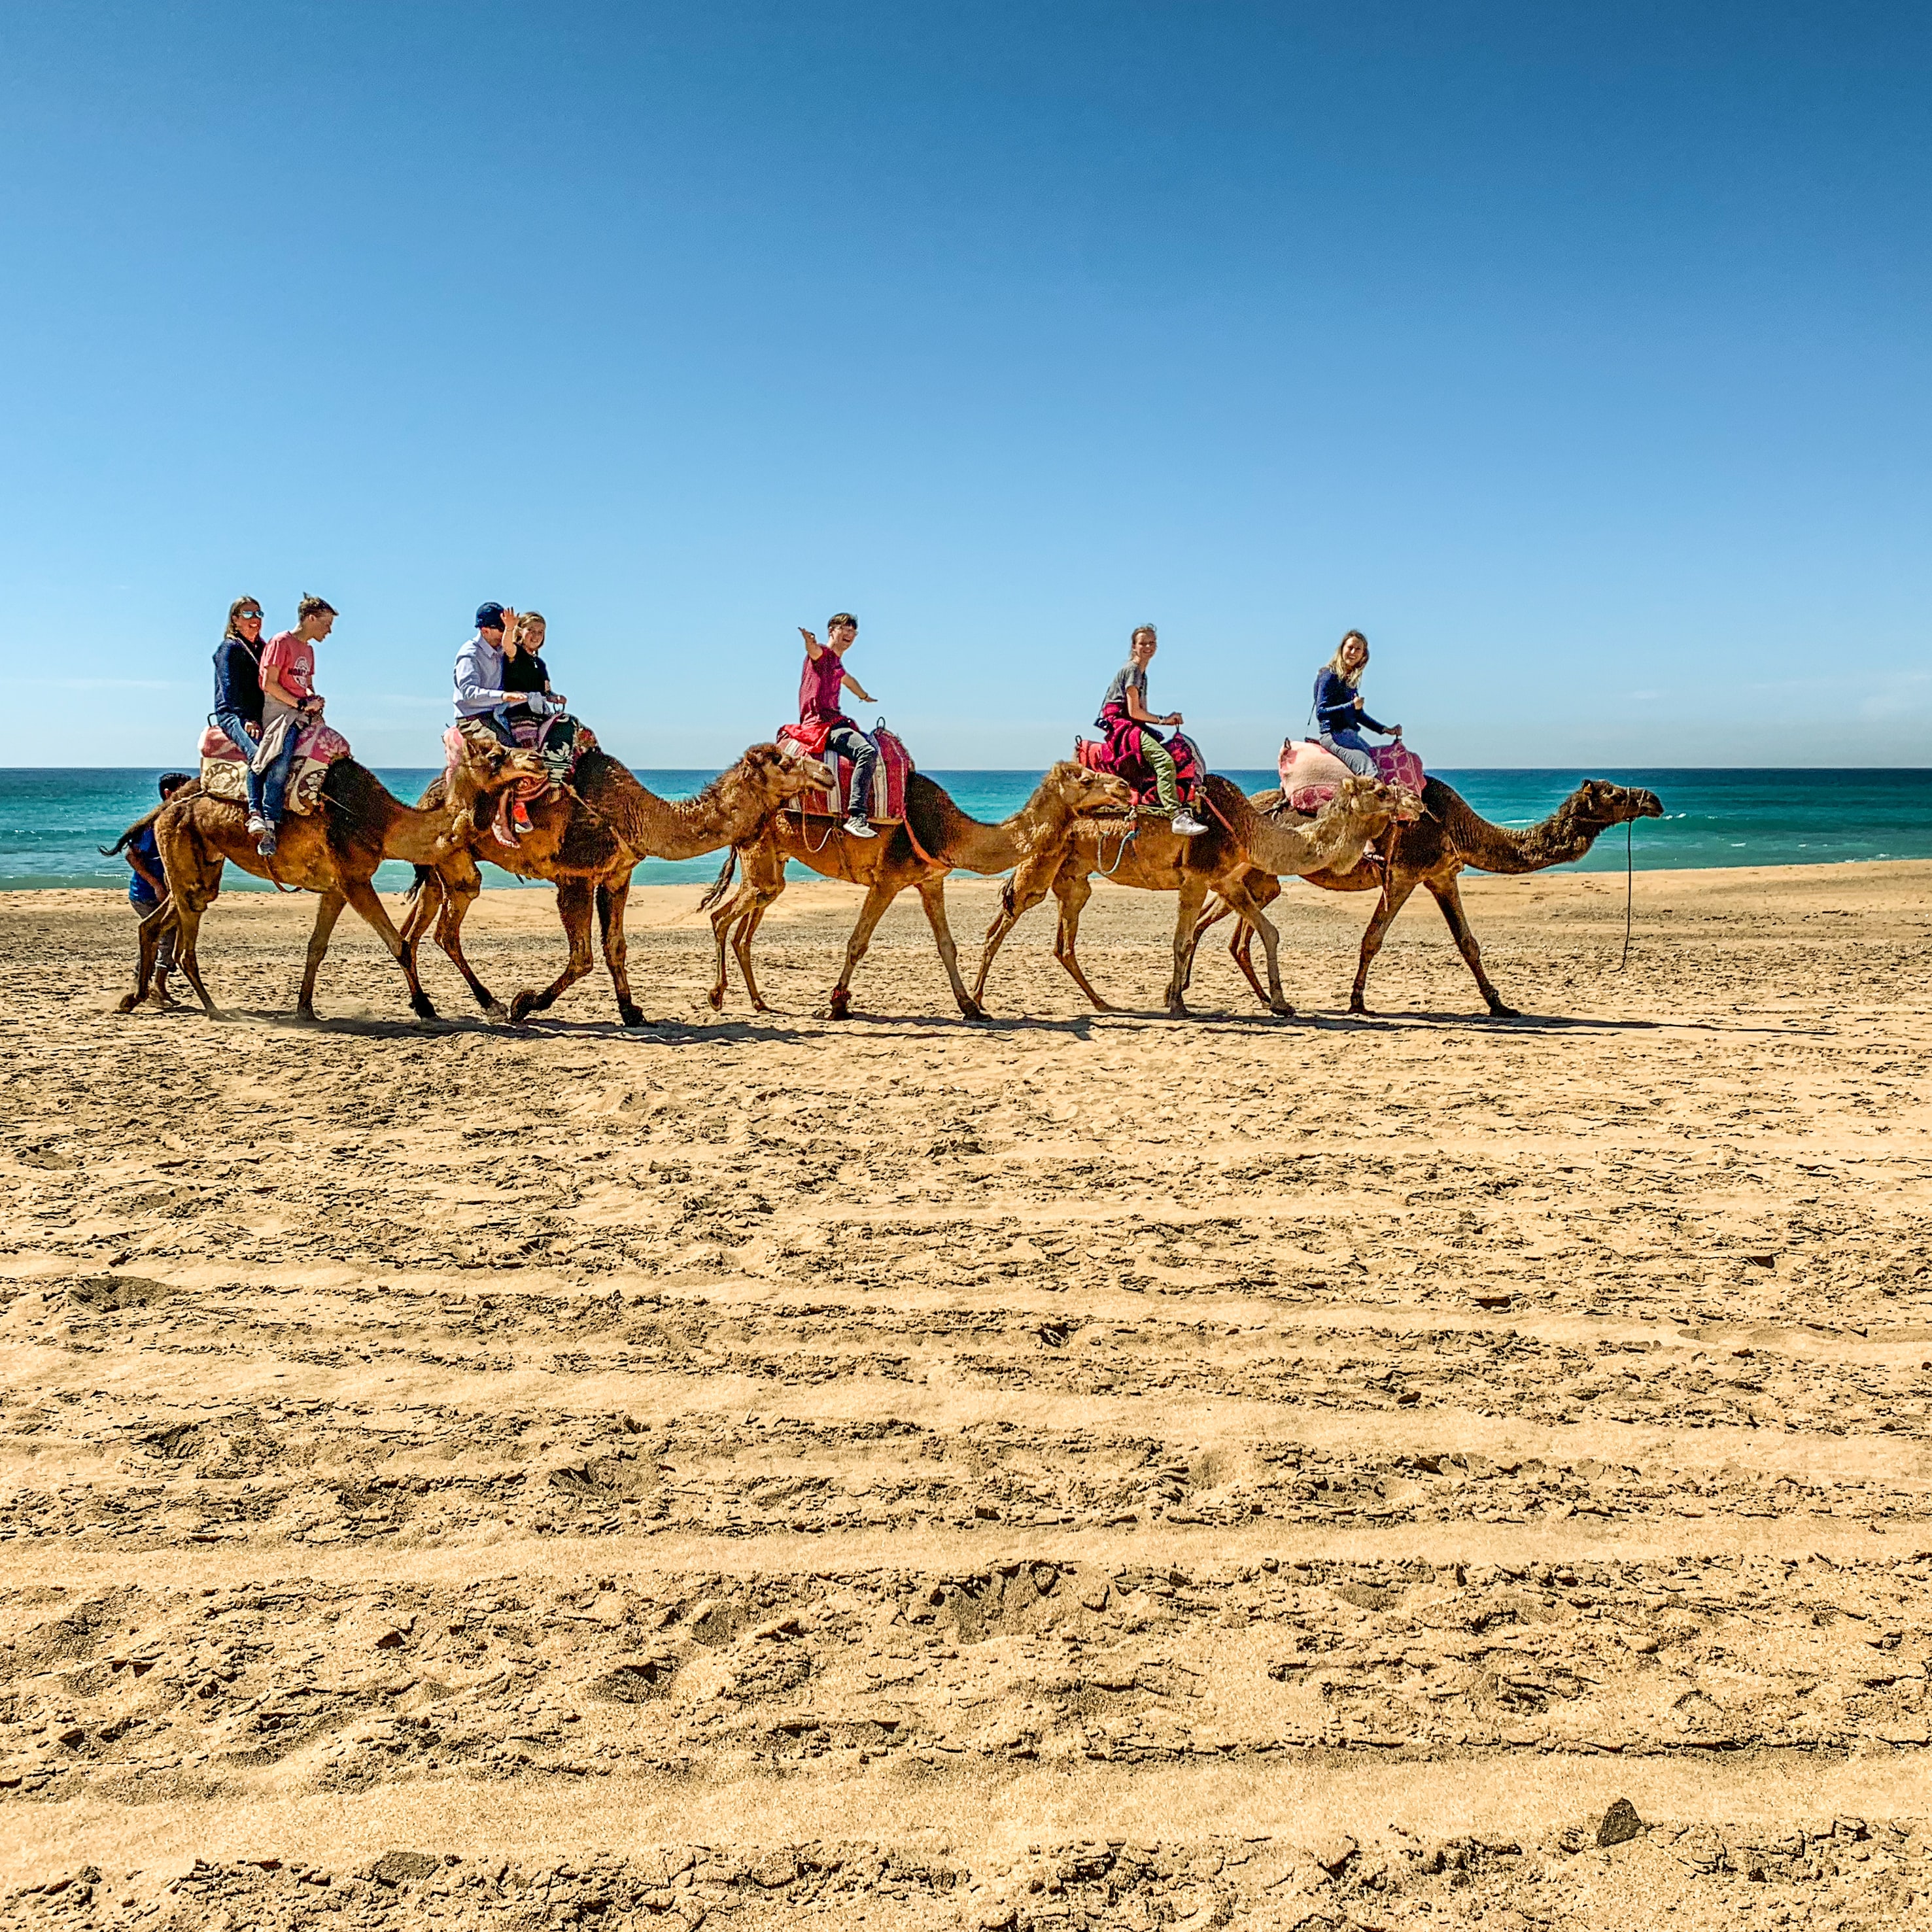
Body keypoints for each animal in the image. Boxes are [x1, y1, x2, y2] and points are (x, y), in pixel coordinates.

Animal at [111, 734, 545, 1020]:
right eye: (496, 755)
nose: (538, 760)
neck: (382, 823)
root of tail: (169, 806)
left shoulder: (336, 888)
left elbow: (316, 947)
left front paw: (305, 1009)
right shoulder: (354, 880)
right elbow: (400, 945)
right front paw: (426, 1007)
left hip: (201, 866)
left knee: (156, 922)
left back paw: (132, 999)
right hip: (182, 854)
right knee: (183, 941)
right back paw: (214, 1008)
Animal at [400, 742, 831, 1027]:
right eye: (785, 762)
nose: (825, 773)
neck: (636, 815)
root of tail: (428, 795)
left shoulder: (617, 876)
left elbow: (615, 947)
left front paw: (631, 1011)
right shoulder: (575, 876)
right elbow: (583, 956)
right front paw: (526, 1003)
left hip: (438, 864)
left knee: (415, 929)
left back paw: (425, 1006)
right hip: (455, 859)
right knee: (447, 928)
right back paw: (491, 1004)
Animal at [707, 757, 1128, 1020]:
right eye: (1087, 778)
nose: (1124, 786)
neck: (945, 830)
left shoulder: (931, 880)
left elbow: (947, 946)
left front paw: (971, 1007)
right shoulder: (887, 880)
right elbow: (857, 943)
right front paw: (835, 1006)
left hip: (770, 870)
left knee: (744, 926)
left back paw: (759, 1002)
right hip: (761, 862)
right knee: (720, 917)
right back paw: (717, 996)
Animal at [973, 768, 1414, 1020]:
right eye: (1379, 790)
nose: (1415, 801)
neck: (1248, 828)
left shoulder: (1226, 881)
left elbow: (1269, 931)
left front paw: (1281, 1004)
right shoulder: (1197, 878)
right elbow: (1182, 940)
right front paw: (1177, 1003)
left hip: (1074, 878)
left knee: (1062, 943)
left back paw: (1102, 1004)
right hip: (1040, 863)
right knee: (1000, 924)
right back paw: (976, 1004)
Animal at [1190, 772, 1661, 1020]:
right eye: (1613, 793)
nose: (1653, 799)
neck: (1458, 825)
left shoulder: (1441, 875)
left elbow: (1468, 943)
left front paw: (1500, 1005)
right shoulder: (1404, 873)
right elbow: (1373, 939)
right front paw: (1358, 1002)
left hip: (1263, 877)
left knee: (1236, 933)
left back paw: (1262, 1000)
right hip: (1246, 867)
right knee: (1210, 918)